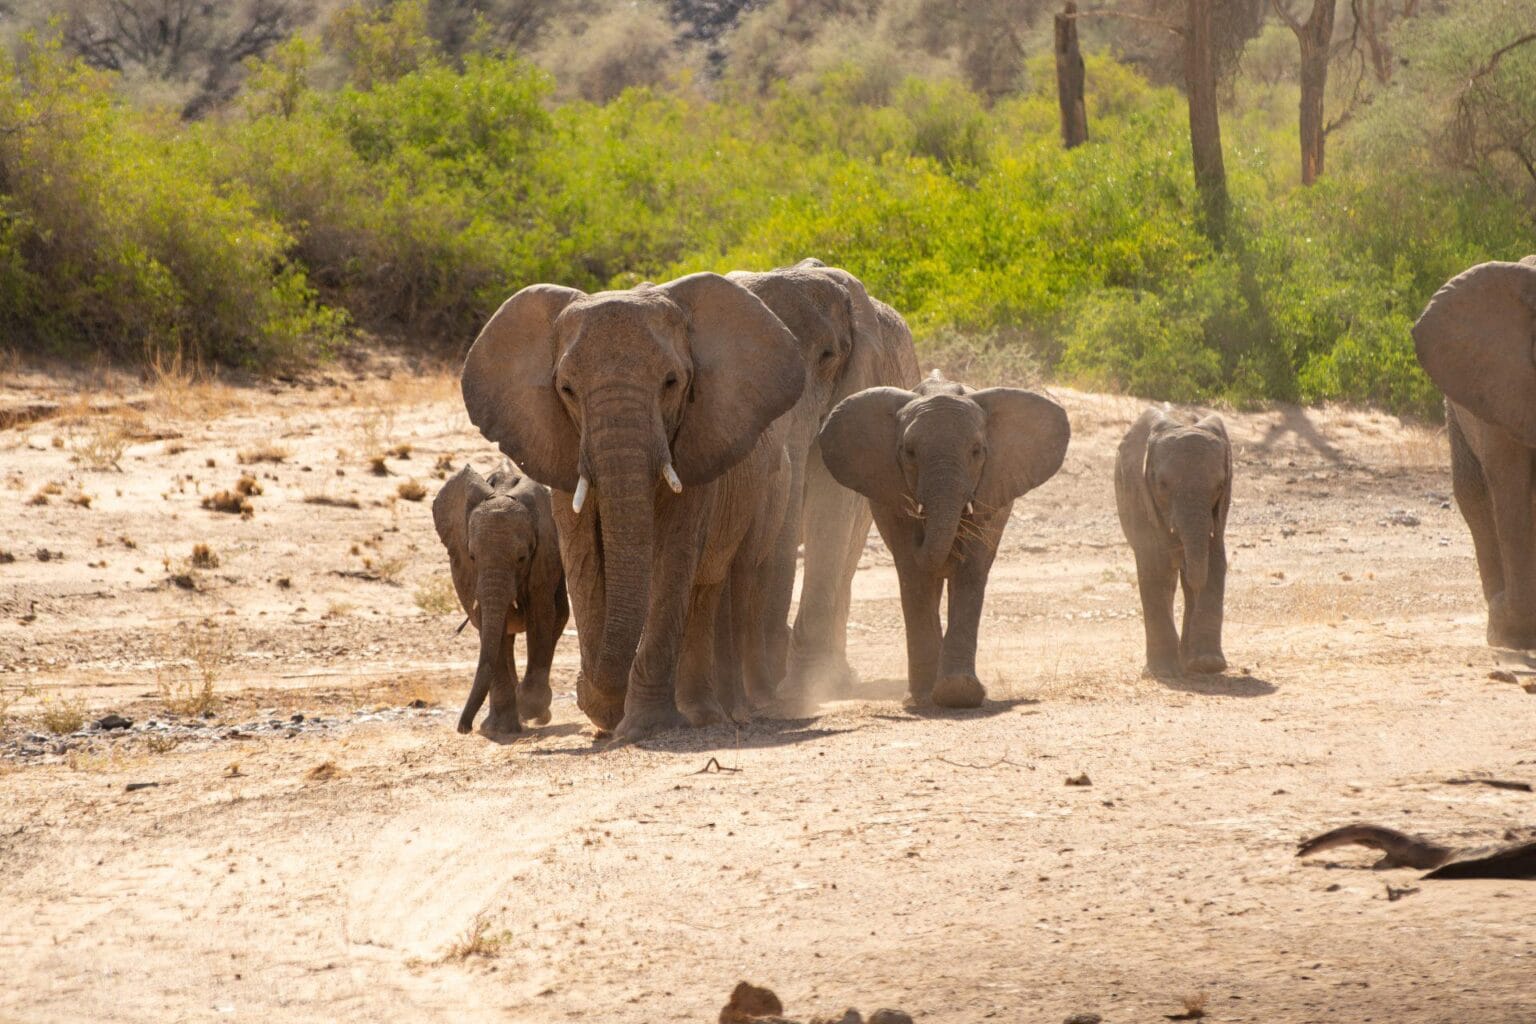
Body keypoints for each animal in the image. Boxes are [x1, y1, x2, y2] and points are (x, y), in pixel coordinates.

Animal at [431, 461, 568, 739]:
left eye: (522, 558)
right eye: (472, 556)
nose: (464, 728)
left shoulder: (544, 556)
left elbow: (540, 617)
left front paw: (528, 707)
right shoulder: (462, 566)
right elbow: (487, 625)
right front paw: (499, 730)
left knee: (557, 620)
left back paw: (536, 713)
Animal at [460, 272, 803, 741]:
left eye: (672, 383)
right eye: (566, 389)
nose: (581, 691)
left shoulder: (695, 447)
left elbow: (673, 559)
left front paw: (642, 724)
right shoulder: (561, 450)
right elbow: (585, 560)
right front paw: (605, 715)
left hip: (766, 490)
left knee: (718, 584)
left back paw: (711, 714)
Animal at [817, 372, 1070, 708]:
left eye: (977, 451)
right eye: (909, 452)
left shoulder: (990, 490)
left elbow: (971, 568)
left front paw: (958, 693)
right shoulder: (890, 495)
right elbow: (914, 573)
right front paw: (926, 696)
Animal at [1114, 408, 1231, 677]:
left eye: (1219, 485)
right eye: (1162, 485)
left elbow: (1215, 561)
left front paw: (1207, 665)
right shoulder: (1140, 496)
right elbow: (1155, 567)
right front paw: (1164, 672)